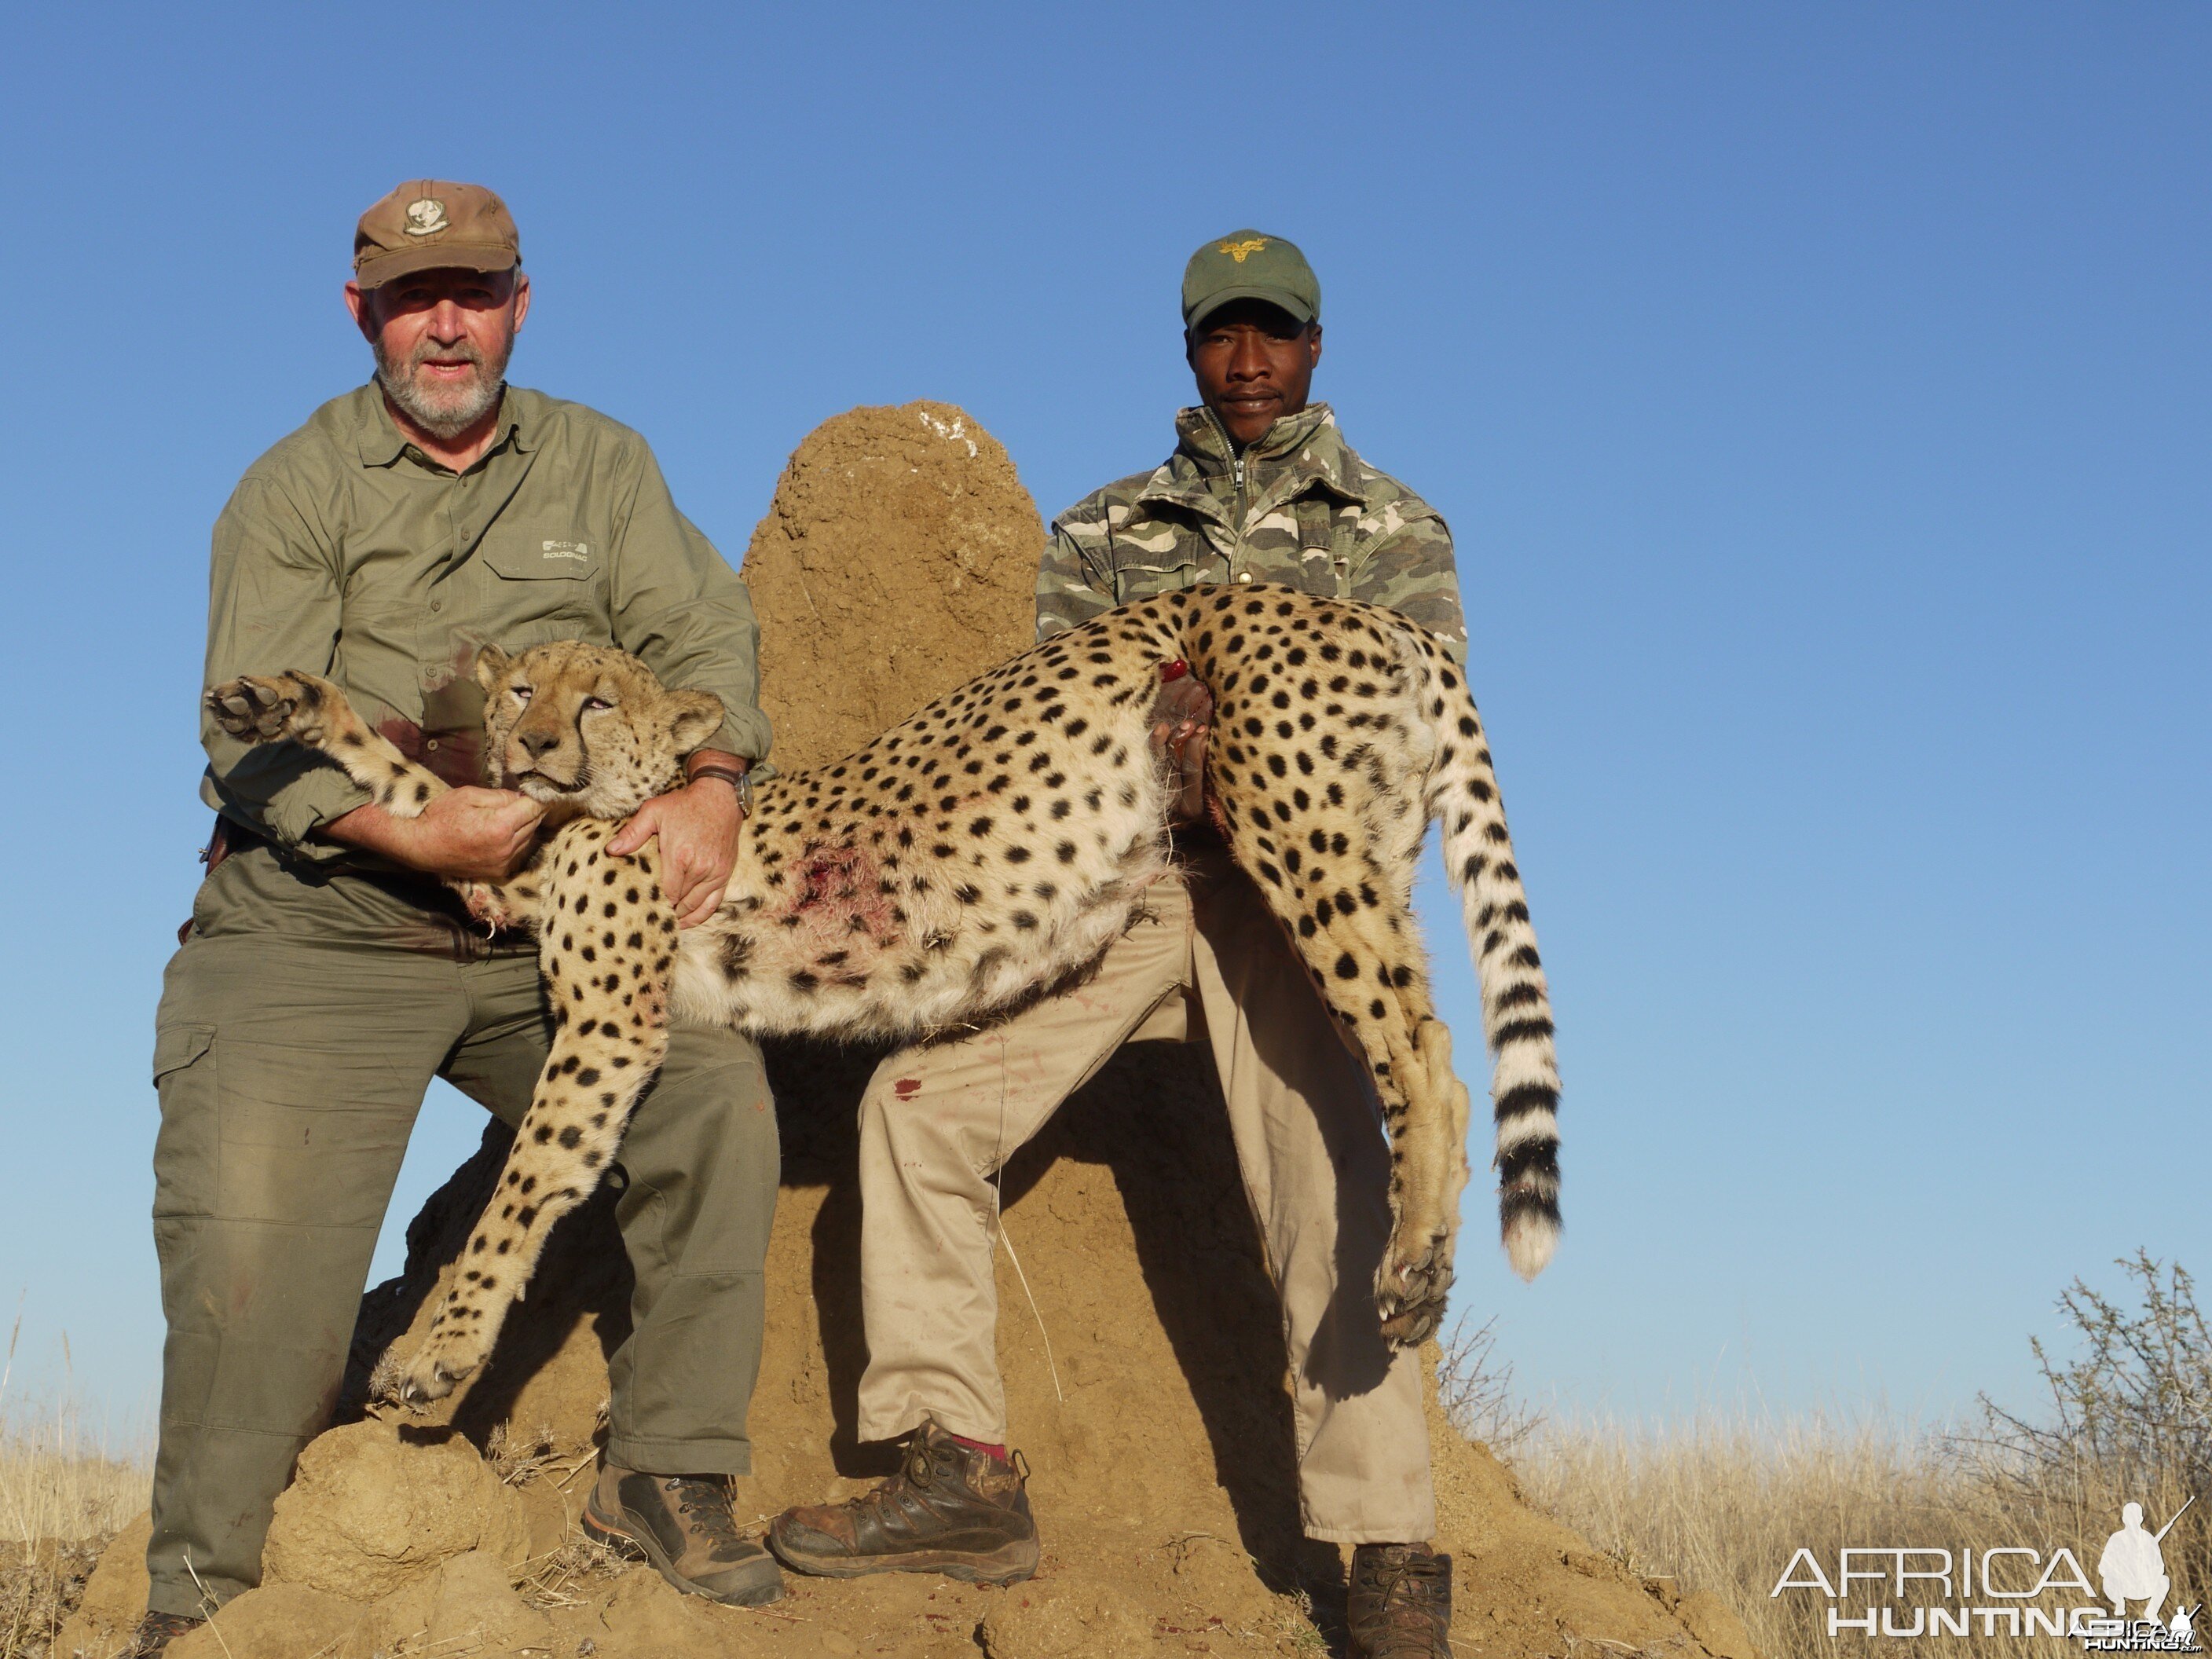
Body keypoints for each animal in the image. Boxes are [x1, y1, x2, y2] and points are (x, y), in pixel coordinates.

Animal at [207, 582, 1562, 1407]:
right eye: (518, 693)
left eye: (596, 699)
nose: (533, 745)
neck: (600, 808)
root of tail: (1347, 601)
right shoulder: (516, 866)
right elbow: (409, 788)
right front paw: (278, 700)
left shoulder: (612, 1023)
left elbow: (522, 1190)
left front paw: (432, 1354)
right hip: (1353, 841)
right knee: (1423, 1038)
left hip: (1299, 832)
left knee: (1429, 1049)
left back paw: (1412, 1266)